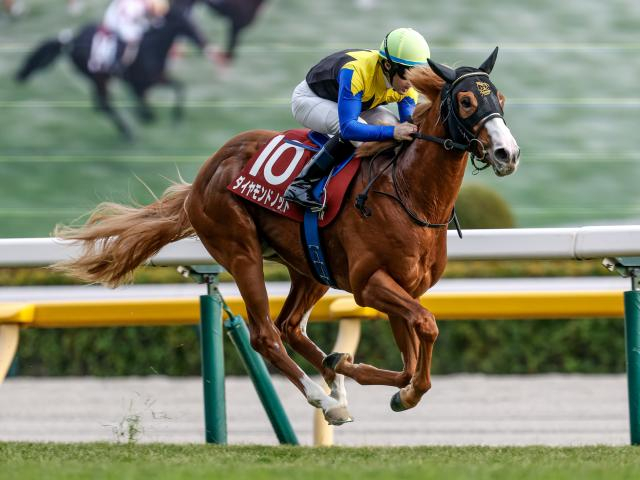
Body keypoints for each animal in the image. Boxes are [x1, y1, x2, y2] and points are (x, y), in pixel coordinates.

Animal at [15, 6, 209, 140]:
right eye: (189, 24)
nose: (203, 42)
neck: (152, 47)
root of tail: (70, 40)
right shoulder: (140, 84)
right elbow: (145, 103)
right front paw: (148, 117)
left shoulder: (157, 79)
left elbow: (180, 87)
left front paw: (176, 119)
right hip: (99, 77)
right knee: (104, 104)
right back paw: (128, 134)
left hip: (98, 78)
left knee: (100, 103)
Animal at [54, 48, 520, 425]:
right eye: (466, 100)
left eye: (499, 99)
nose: (507, 153)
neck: (409, 193)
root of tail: (204, 176)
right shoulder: (370, 285)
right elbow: (425, 327)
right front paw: (375, 382)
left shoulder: (405, 288)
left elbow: (411, 356)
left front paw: (373, 378)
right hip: (241, 252)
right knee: (266, 333)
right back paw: (326, 399)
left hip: (309, 266)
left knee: (290, 326)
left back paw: (334, 382)